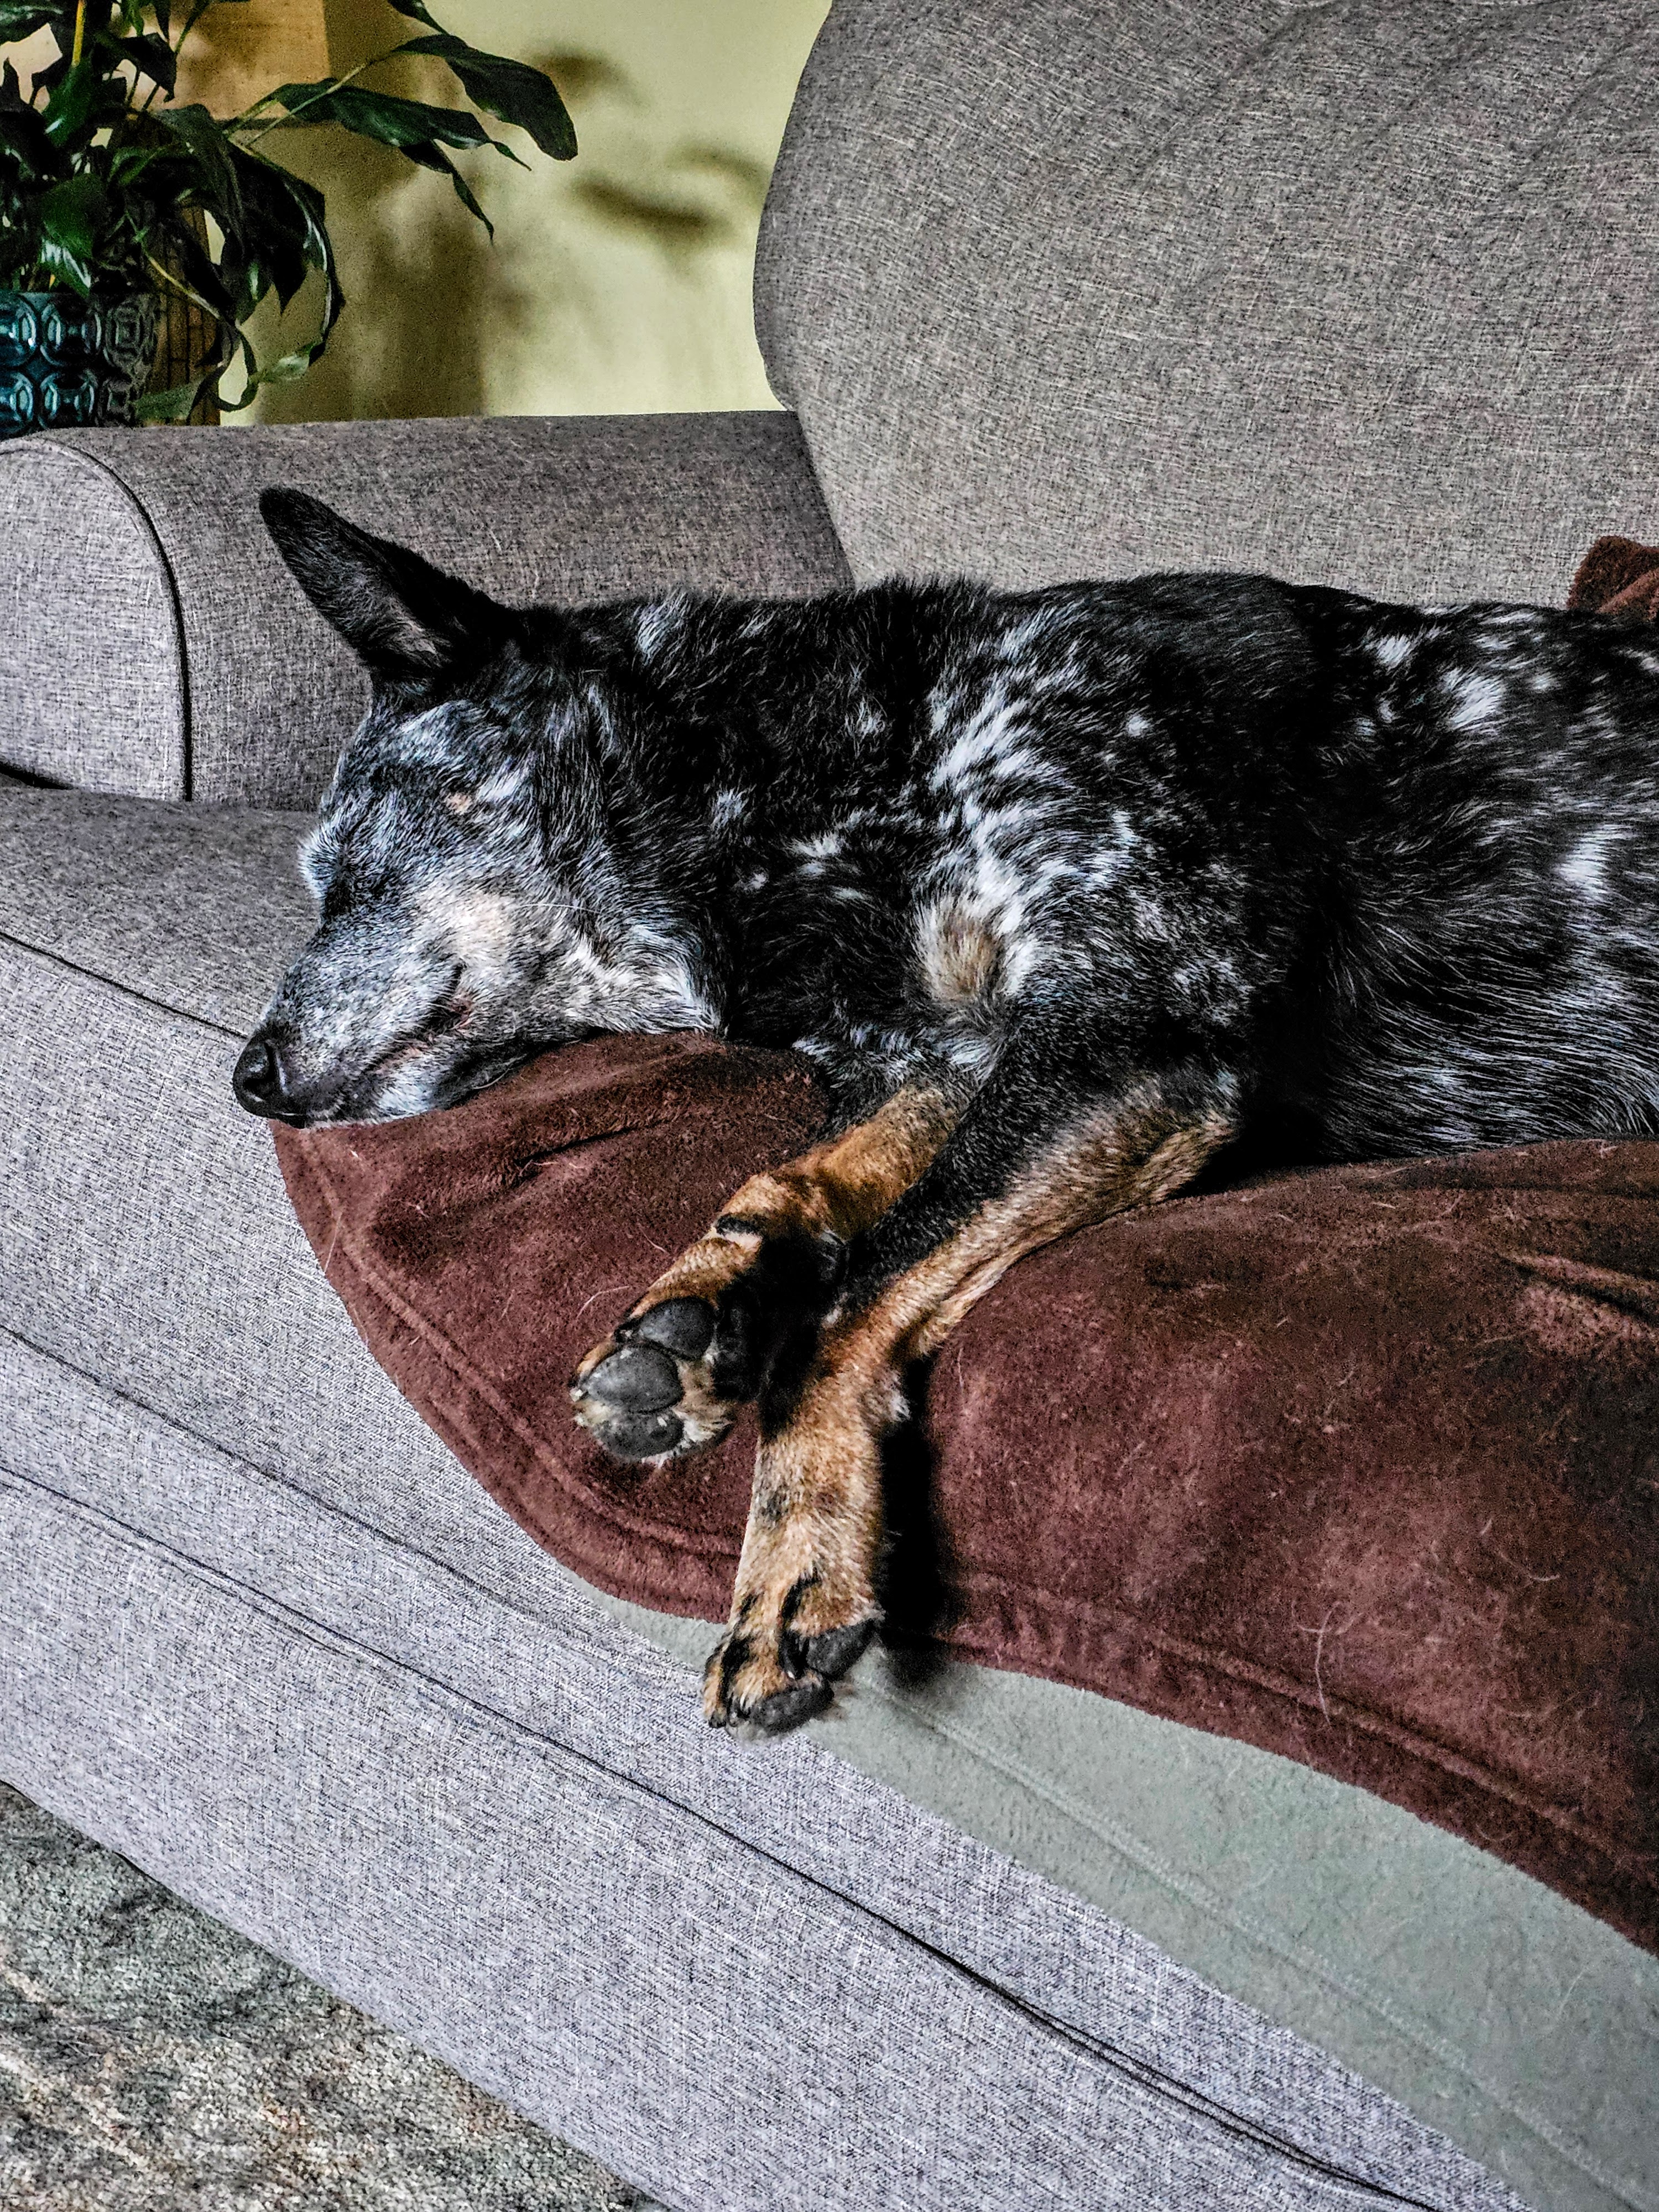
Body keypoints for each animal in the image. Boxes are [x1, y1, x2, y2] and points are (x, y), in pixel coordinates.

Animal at [240, 486, 1659, 1732]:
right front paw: (701, 1307)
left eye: (345, 876)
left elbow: (865, 1283)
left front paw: (791, 1562)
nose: (246, 1076)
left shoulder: (1130, 1037)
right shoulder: (945, 1053)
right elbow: (793, 1181)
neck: (826, 779)